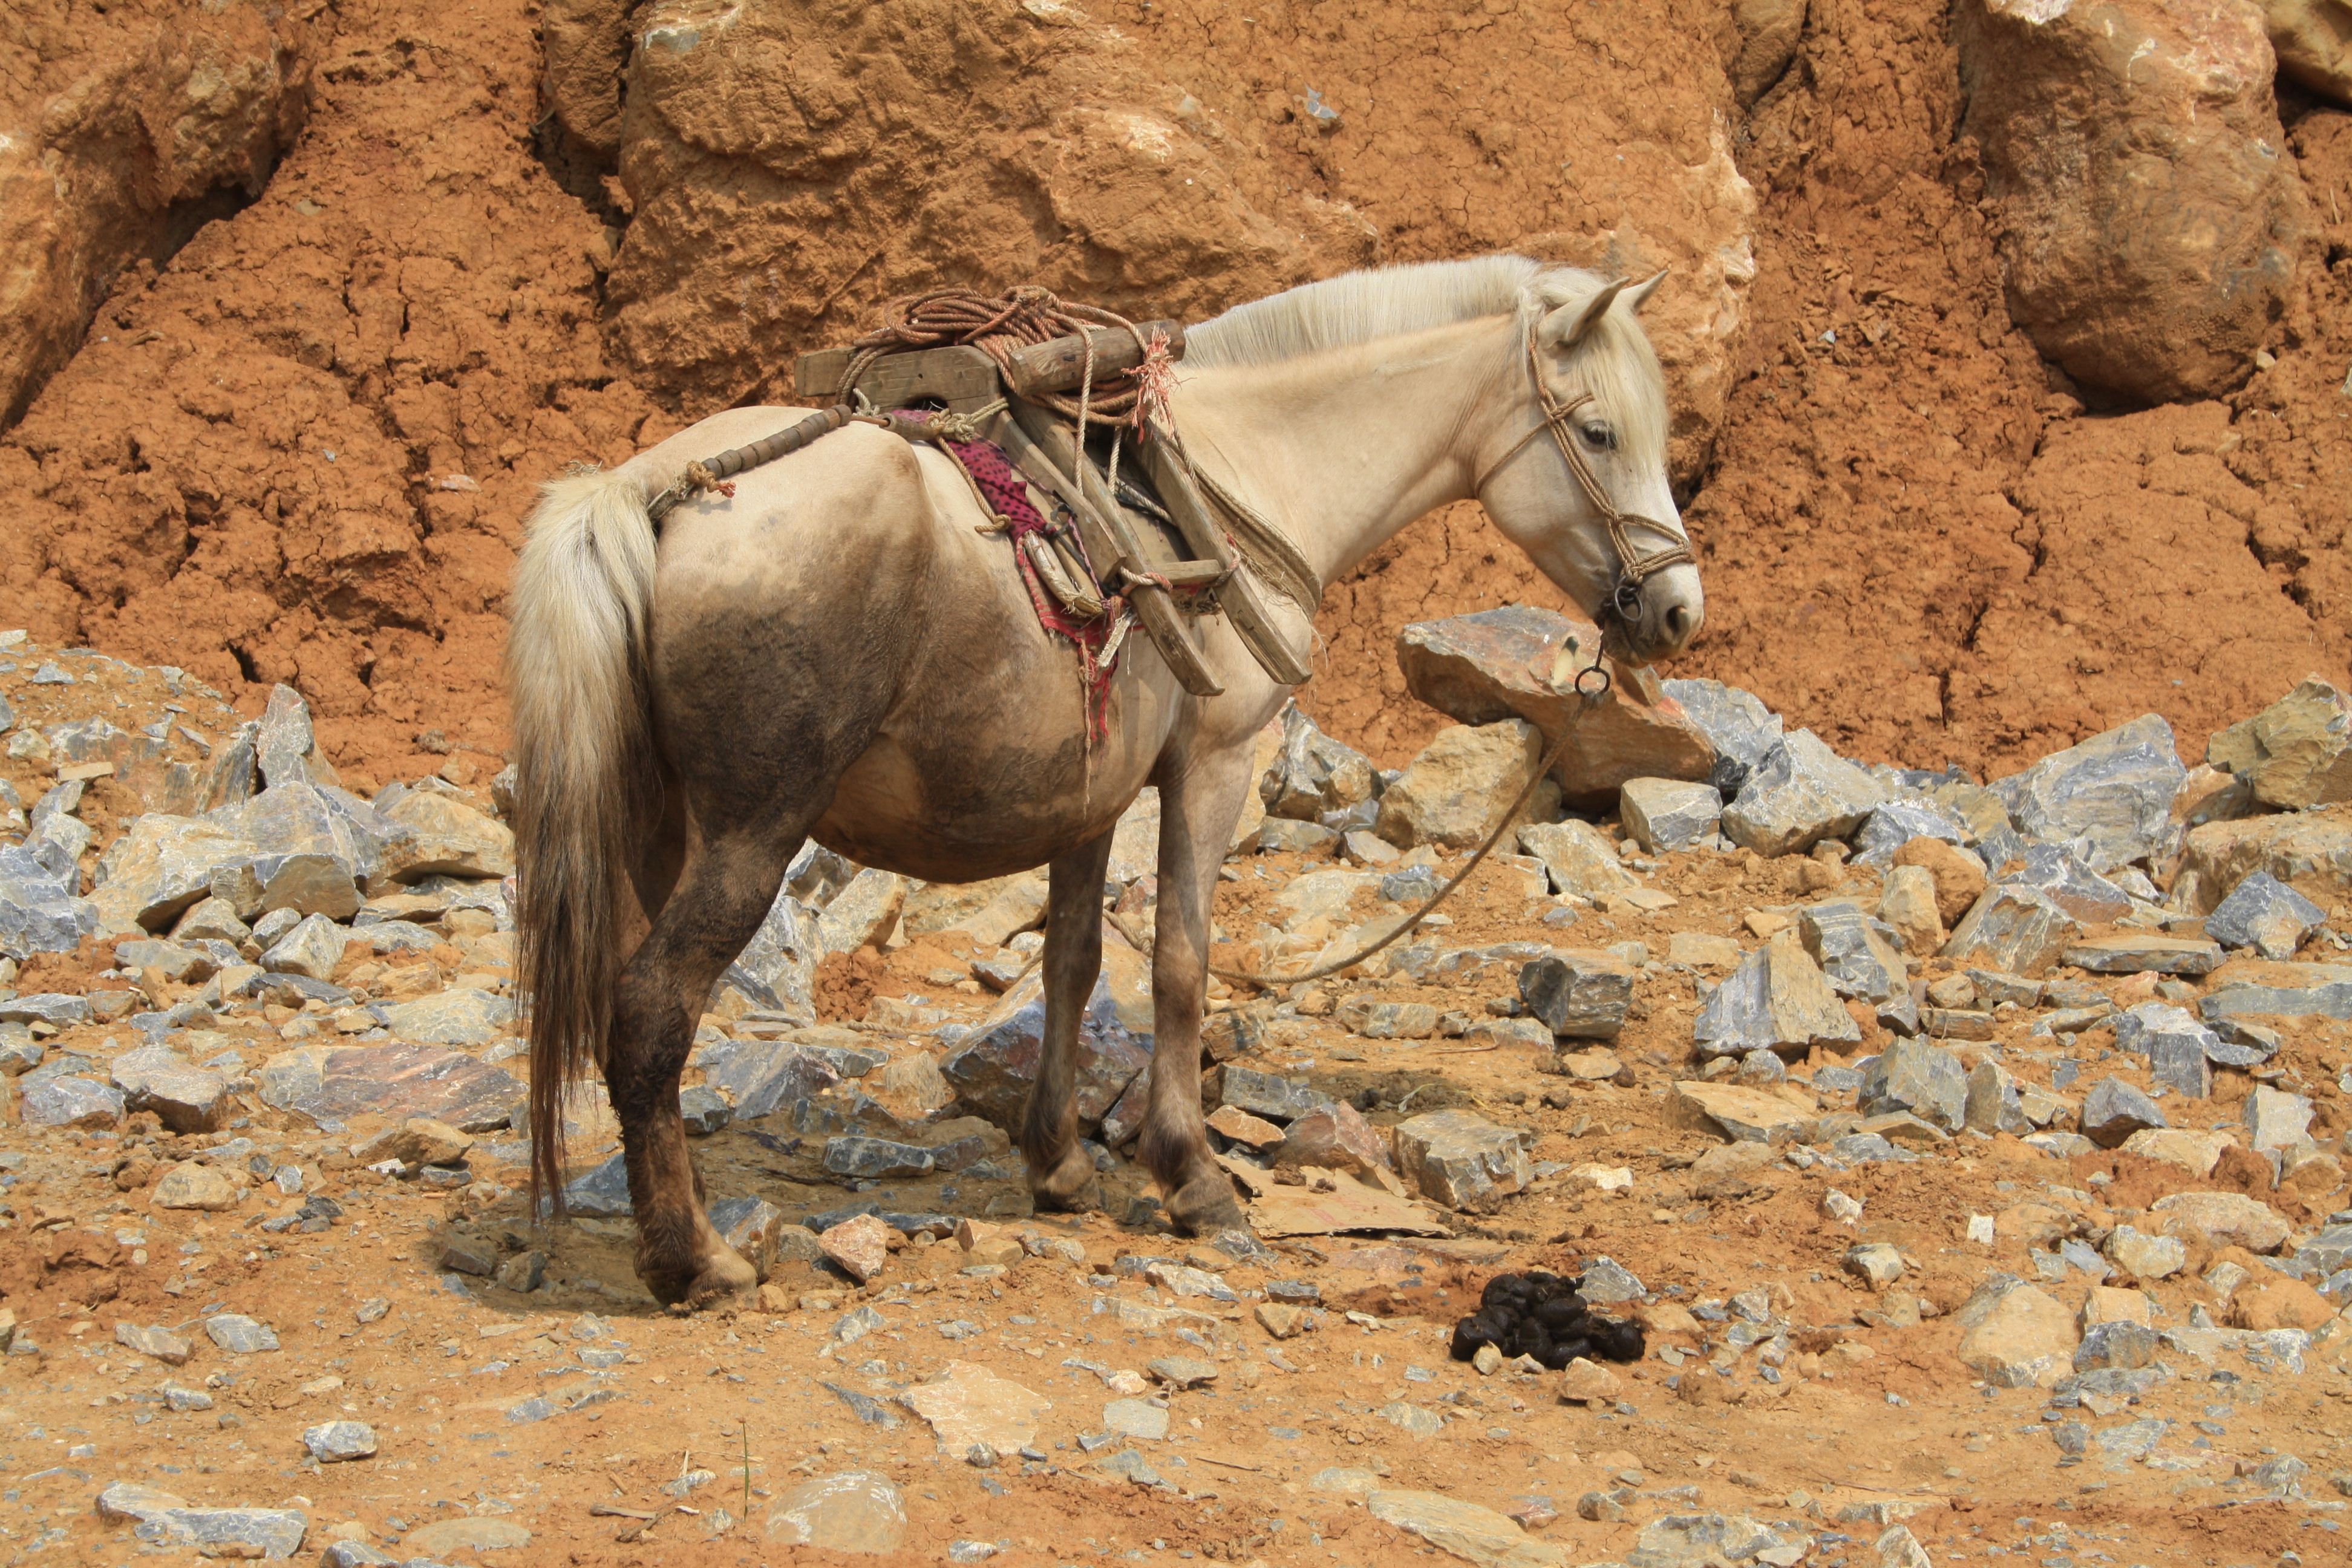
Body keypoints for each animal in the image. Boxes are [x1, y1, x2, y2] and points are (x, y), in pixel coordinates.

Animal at [508, 253, 1705, 1308]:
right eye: (1599, 431)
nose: (1676, 612)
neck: (1243, 474)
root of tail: (650, 491)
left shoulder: (1086, 794)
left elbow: (1072, 964)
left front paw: (1058, 1162)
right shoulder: (1212, 765)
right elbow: (1179, 962)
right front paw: (1193, 1178)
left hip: (657, 828)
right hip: (749, 833)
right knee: (652, 1010)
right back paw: (693, 1263)